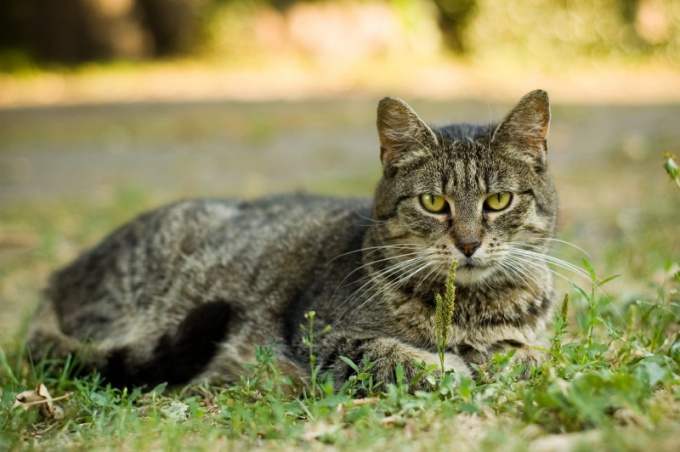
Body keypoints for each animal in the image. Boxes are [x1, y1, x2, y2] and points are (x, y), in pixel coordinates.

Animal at [26, 90, 556, 390]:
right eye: (433, 203)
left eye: (498, 201)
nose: (468, 244)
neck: (471, 307)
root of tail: (59, 276)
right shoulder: (319, 333)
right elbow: (385, 352)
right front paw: (442, 368)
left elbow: (525, 353)